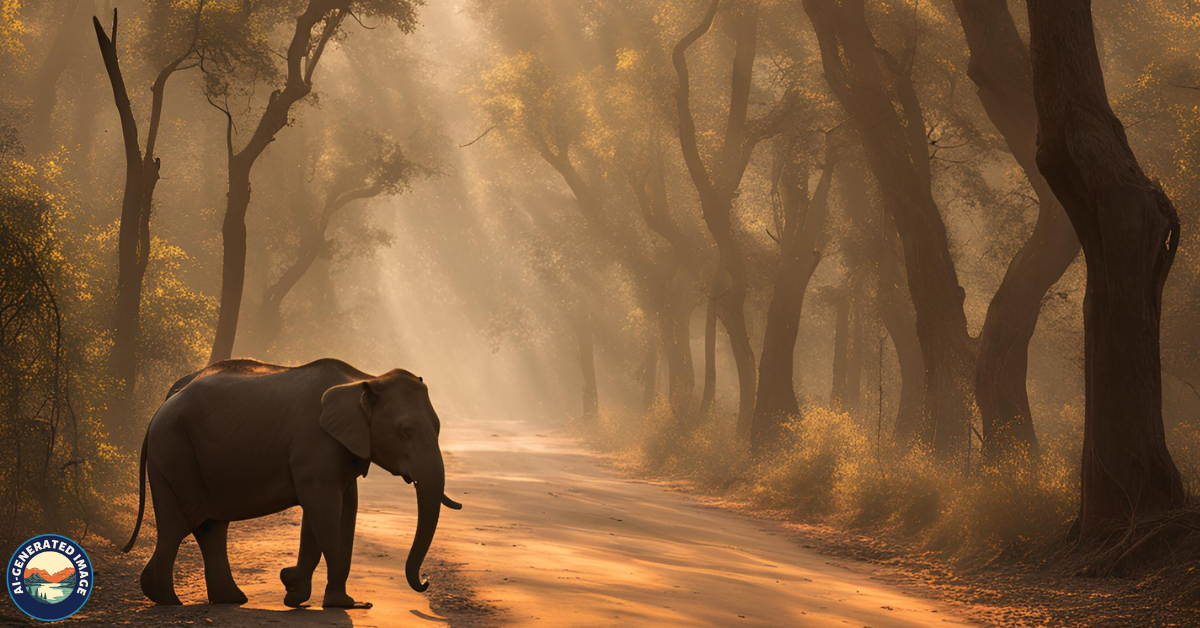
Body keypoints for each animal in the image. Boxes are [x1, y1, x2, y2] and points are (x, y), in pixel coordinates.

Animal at [120, 357, 458, 609]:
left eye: (438, 428)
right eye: (406, 431)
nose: (426, 581)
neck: (365, 379)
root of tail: (165, 401)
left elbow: (341, 510)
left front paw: (295, 591)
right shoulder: (315, 444)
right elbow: (323, 507)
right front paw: (342, 603)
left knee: (209, 527)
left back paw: (229, 599)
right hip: (173, 451)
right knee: (178, 524)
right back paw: (168, 599)